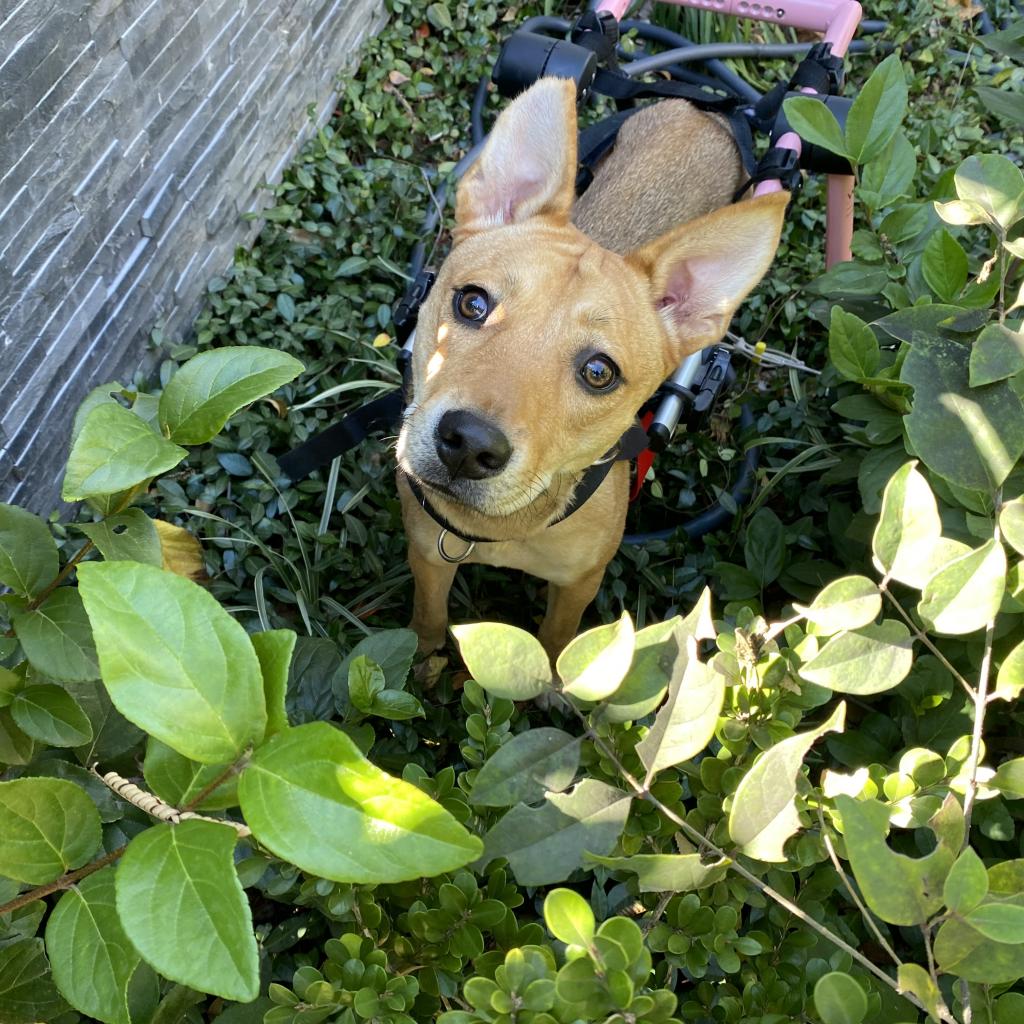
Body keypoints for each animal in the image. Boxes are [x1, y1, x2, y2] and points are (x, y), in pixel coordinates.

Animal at [395, 77, 786, 655]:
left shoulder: (580, 583)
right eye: (472, 303)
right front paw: (418, 664)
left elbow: (559, 644)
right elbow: (425, 625)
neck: (506, 525)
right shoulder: (427, 556)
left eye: (599, 372)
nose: (467, 444)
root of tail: (705, 109)